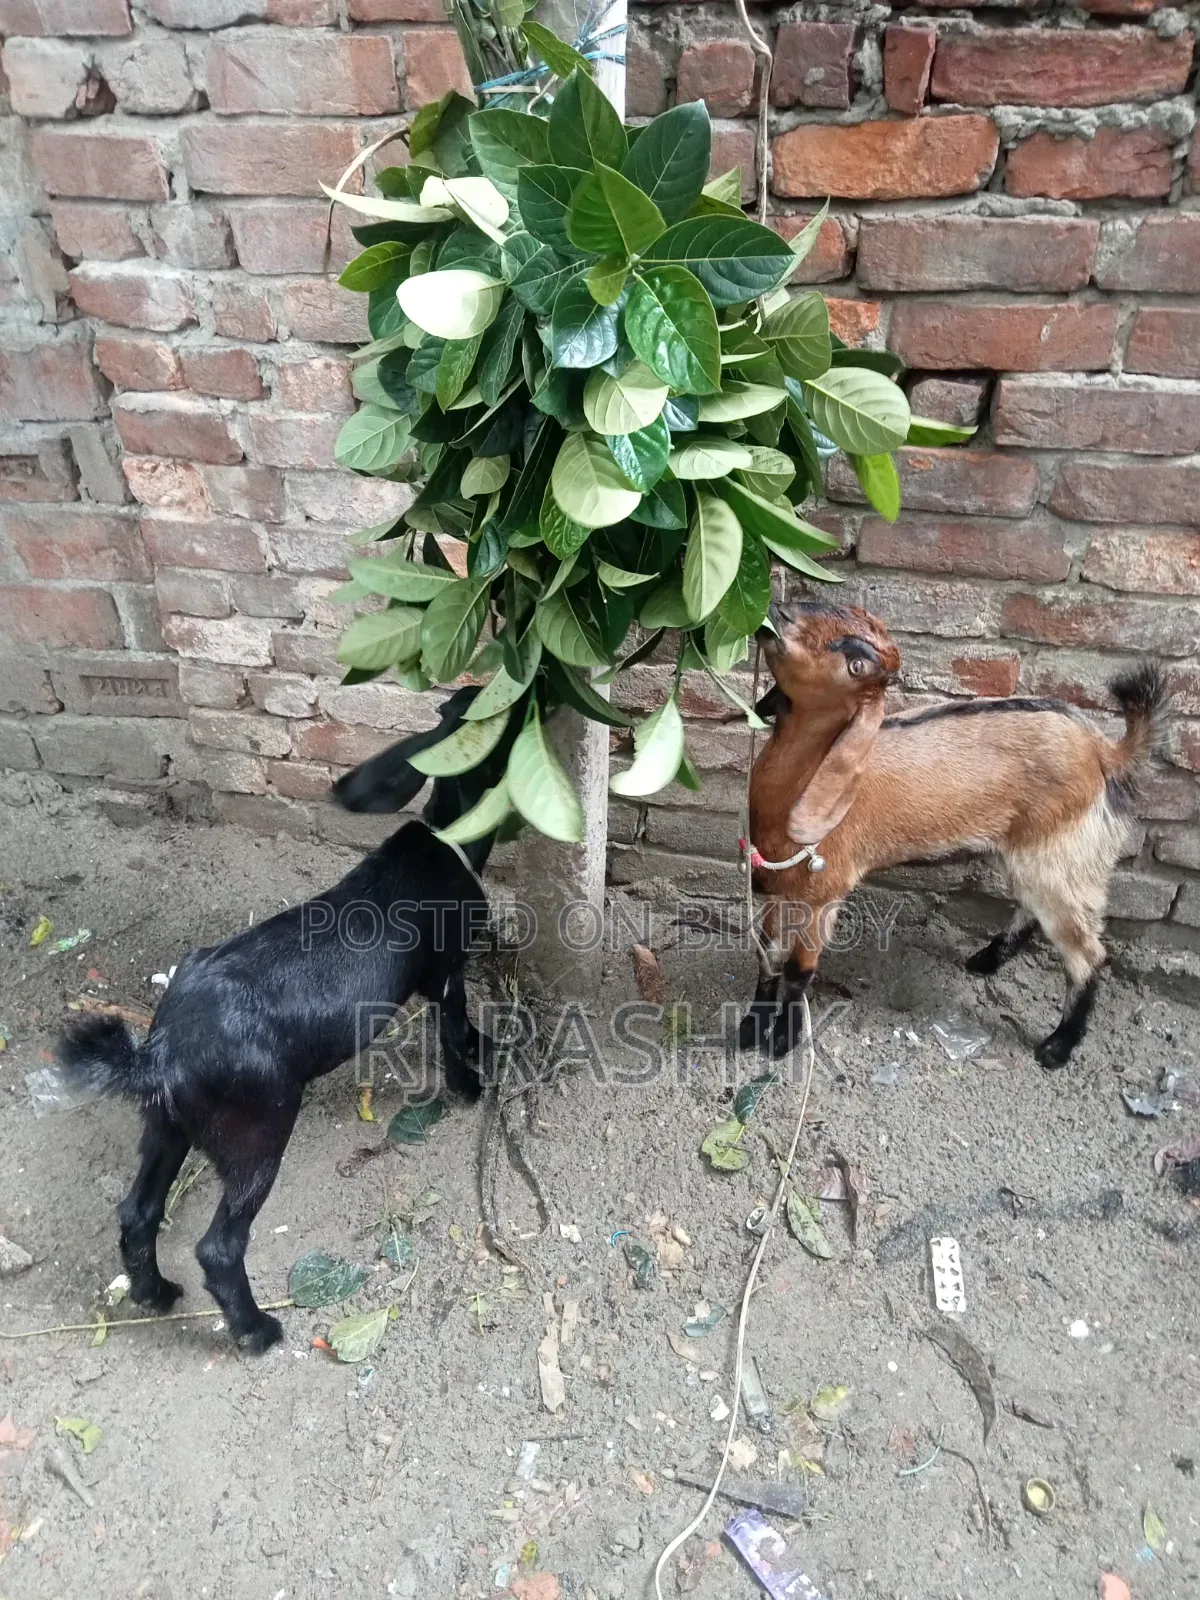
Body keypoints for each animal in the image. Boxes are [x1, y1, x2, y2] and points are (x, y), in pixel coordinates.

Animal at [58, 688, 514, 1352]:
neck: (449, 835)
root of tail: (159, 1052)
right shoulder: (446, 973)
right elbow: (453, 1034)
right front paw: (471, 1088)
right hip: (258, 1132)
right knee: (220, 1246)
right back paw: (256, 1330)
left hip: (167, 1125)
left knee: (137, 1212)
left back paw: (154, 1294)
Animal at [740, 599, 1167, 1066]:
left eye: (856, 664)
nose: (778, 614)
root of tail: (1106, 751)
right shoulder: (778, 886)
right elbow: (767, 953)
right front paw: (749, 1028)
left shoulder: (825, 891)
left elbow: (798, 970)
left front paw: (783, 1041)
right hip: (1028, 852)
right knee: (1032, 908)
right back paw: (986, 961)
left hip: (1064, 852)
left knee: (1087, 952)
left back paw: (1057, 1047)